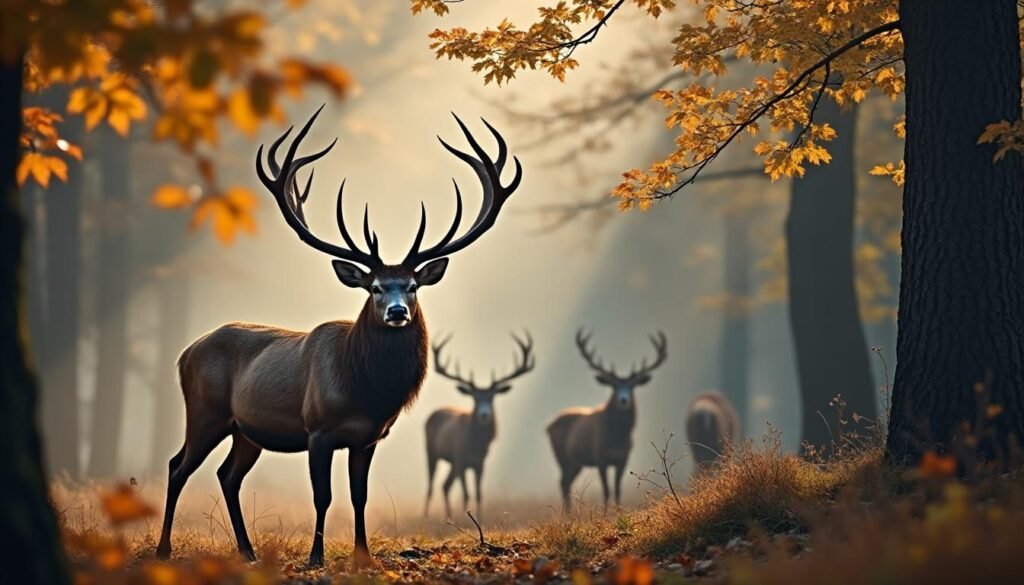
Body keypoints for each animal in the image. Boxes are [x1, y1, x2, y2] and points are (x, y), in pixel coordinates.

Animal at [154, 105, 523, 570]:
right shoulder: (319, 427)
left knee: (227, 475)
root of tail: (185, 353)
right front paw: (316, 558)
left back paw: (248, 552)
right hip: (206, 410)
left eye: (412, 286)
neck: (366, 391)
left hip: (246, 430)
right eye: (375, 288)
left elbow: (359, 496)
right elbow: (323, 496)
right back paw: (164, 549)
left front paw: (363, 557)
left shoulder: (368, 437)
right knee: (177, 466)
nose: (398, 312)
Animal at [423, 332, 535, 520]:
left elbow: (478, 493)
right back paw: (426, 515)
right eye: (474, 397)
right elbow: (466, 493)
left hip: (452, 463)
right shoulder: (461, 458)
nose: (484, 414)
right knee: (431, 486)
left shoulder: (480, 463)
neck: (475, 445)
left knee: (445, 485)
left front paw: (479, 518)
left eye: (492, 397)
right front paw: (465, 517)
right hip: (432, 452)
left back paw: (448, 516)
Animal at [547, 329, 668, 512]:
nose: (623, 400)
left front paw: (618, 512)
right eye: (613, 385)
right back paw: (568, 514)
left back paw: (569, 513)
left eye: (632, 386)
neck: (617, 438)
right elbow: (606, 489)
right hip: (562, 457)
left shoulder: (623, 458)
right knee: (563, 482)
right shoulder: (600, 457)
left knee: (566, 482)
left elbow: (617, 488)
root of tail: (548, 426)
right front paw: (605, 514)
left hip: (576, 463)